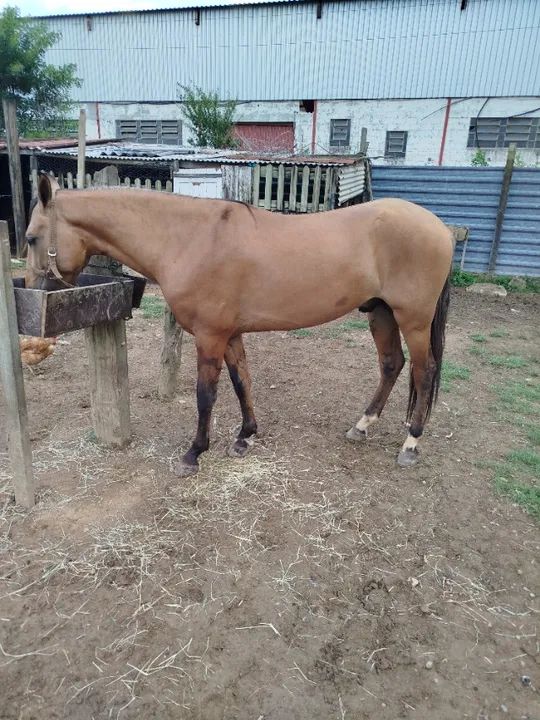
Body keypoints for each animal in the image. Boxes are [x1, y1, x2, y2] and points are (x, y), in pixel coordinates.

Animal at [25, 174, 454, 476]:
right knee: (392, 365)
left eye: (30, 238)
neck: (189, 239)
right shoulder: (230, 335)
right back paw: (362, 426)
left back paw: (411, 443)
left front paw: (194, 453)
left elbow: (206, 395)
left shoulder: (210, 336)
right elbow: (241, 382)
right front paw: (245, 436)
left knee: (424, 371)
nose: (30, 290)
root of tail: (440, 228)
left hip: (413, 319)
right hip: (380, 313)